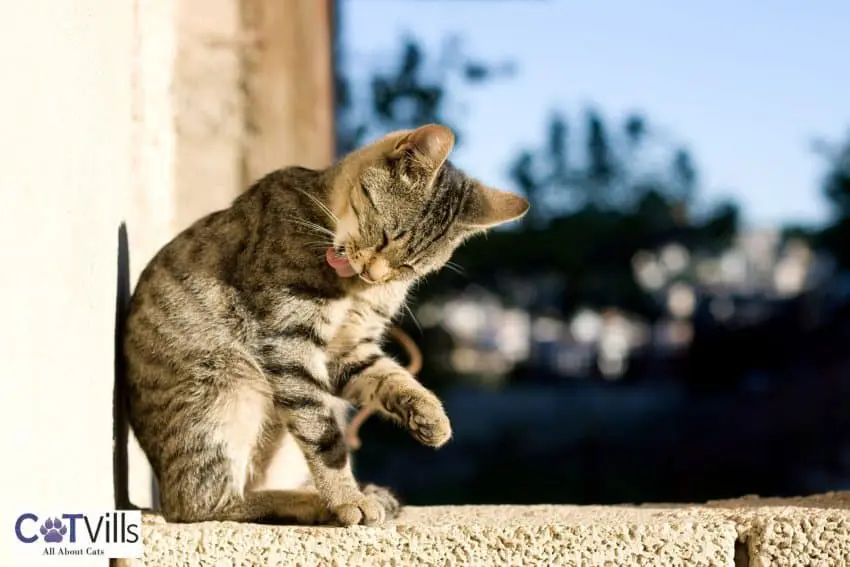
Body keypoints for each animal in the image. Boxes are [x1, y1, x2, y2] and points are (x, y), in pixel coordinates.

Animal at [122, 124, 528, 528]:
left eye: (409, 267)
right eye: (387, 236)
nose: (374, 273)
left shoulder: (347, 351)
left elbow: (390, 376)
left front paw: (430, 414)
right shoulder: (287, 340)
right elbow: (324, 436)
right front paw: (348, 498)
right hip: (225, 388)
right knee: (200, 504)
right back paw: (314, 502)